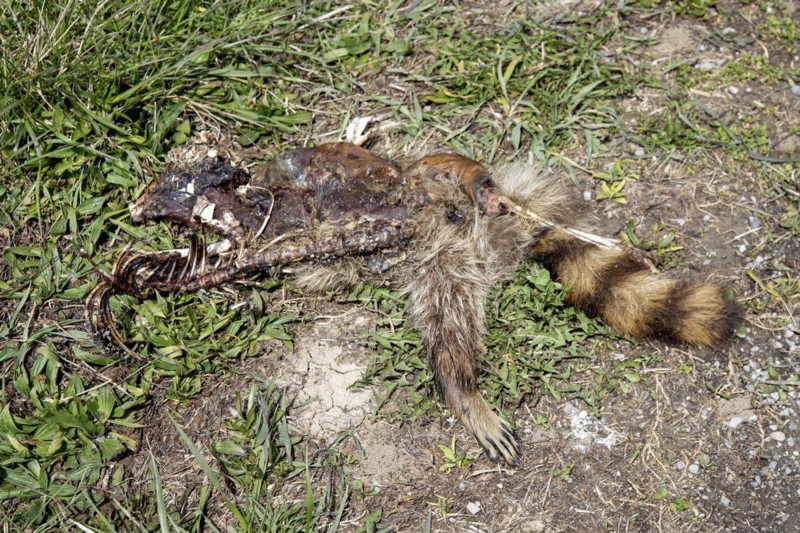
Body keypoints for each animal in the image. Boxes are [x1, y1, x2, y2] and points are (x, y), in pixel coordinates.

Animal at [87, 142, 738, 466]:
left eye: (169, 180)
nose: (137, 208)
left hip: (446, 188)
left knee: (474, 188)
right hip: (445, 264)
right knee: (450, 324)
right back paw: (463, 385)